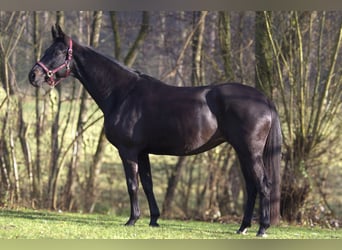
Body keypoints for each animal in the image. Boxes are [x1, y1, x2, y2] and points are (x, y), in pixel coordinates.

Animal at [28, 23, 280, 236]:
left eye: (58, 52)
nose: (33, 75)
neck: (123, 93)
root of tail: (264, 99)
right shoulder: (143, 152)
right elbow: (148, 185)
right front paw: (153, 220)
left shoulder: (128, 151)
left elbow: (132, 184)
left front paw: (132, 219)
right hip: (242, 152)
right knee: (251, 186)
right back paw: (243, 227)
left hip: (250, 152)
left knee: (263, 184)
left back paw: (262, 228)